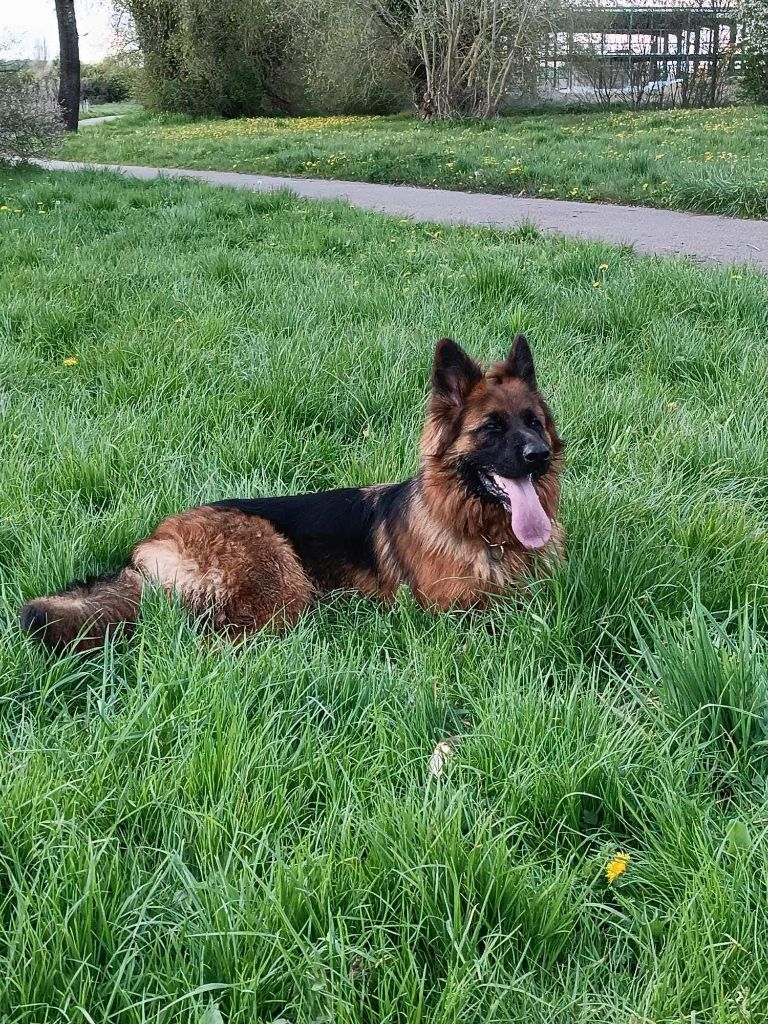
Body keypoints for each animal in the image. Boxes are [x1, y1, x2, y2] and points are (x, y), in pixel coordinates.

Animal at [20, 335, 564, 652]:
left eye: (533, 422)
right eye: (491, 428)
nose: (539, 455)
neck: (484, 533)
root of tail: (152, 543)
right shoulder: (455, 613)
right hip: (280, 577)